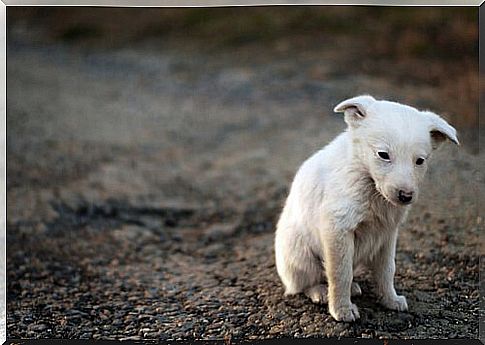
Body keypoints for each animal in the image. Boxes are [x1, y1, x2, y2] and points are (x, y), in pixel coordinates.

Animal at [274, 94, 460, 320]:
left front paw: (390, 300)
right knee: (304, 283)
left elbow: (387, 270)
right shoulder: (338, 228)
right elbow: (340, 273)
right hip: (299, 253)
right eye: (383, 155)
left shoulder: (387, 234)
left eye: (420, 161)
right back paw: (320, 291)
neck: (369, 183)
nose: (406, 196)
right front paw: (342, 310)